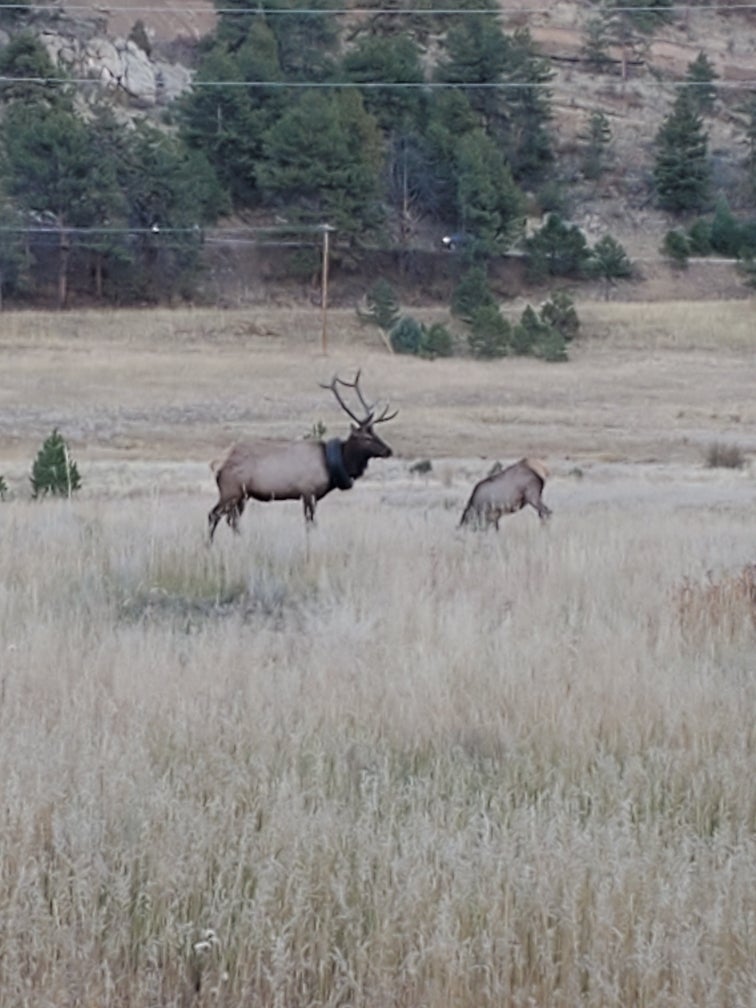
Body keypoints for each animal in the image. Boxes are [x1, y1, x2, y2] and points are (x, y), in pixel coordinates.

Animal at [208, 371, 397, 542]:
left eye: (376, 433)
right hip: (231, 490)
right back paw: (209, 546)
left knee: (232, 521)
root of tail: (216, 464)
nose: (388, 450)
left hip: (242, 495)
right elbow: (310, 524)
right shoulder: (308, 491)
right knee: (213, 515)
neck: (330, 466)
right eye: (366, 438)